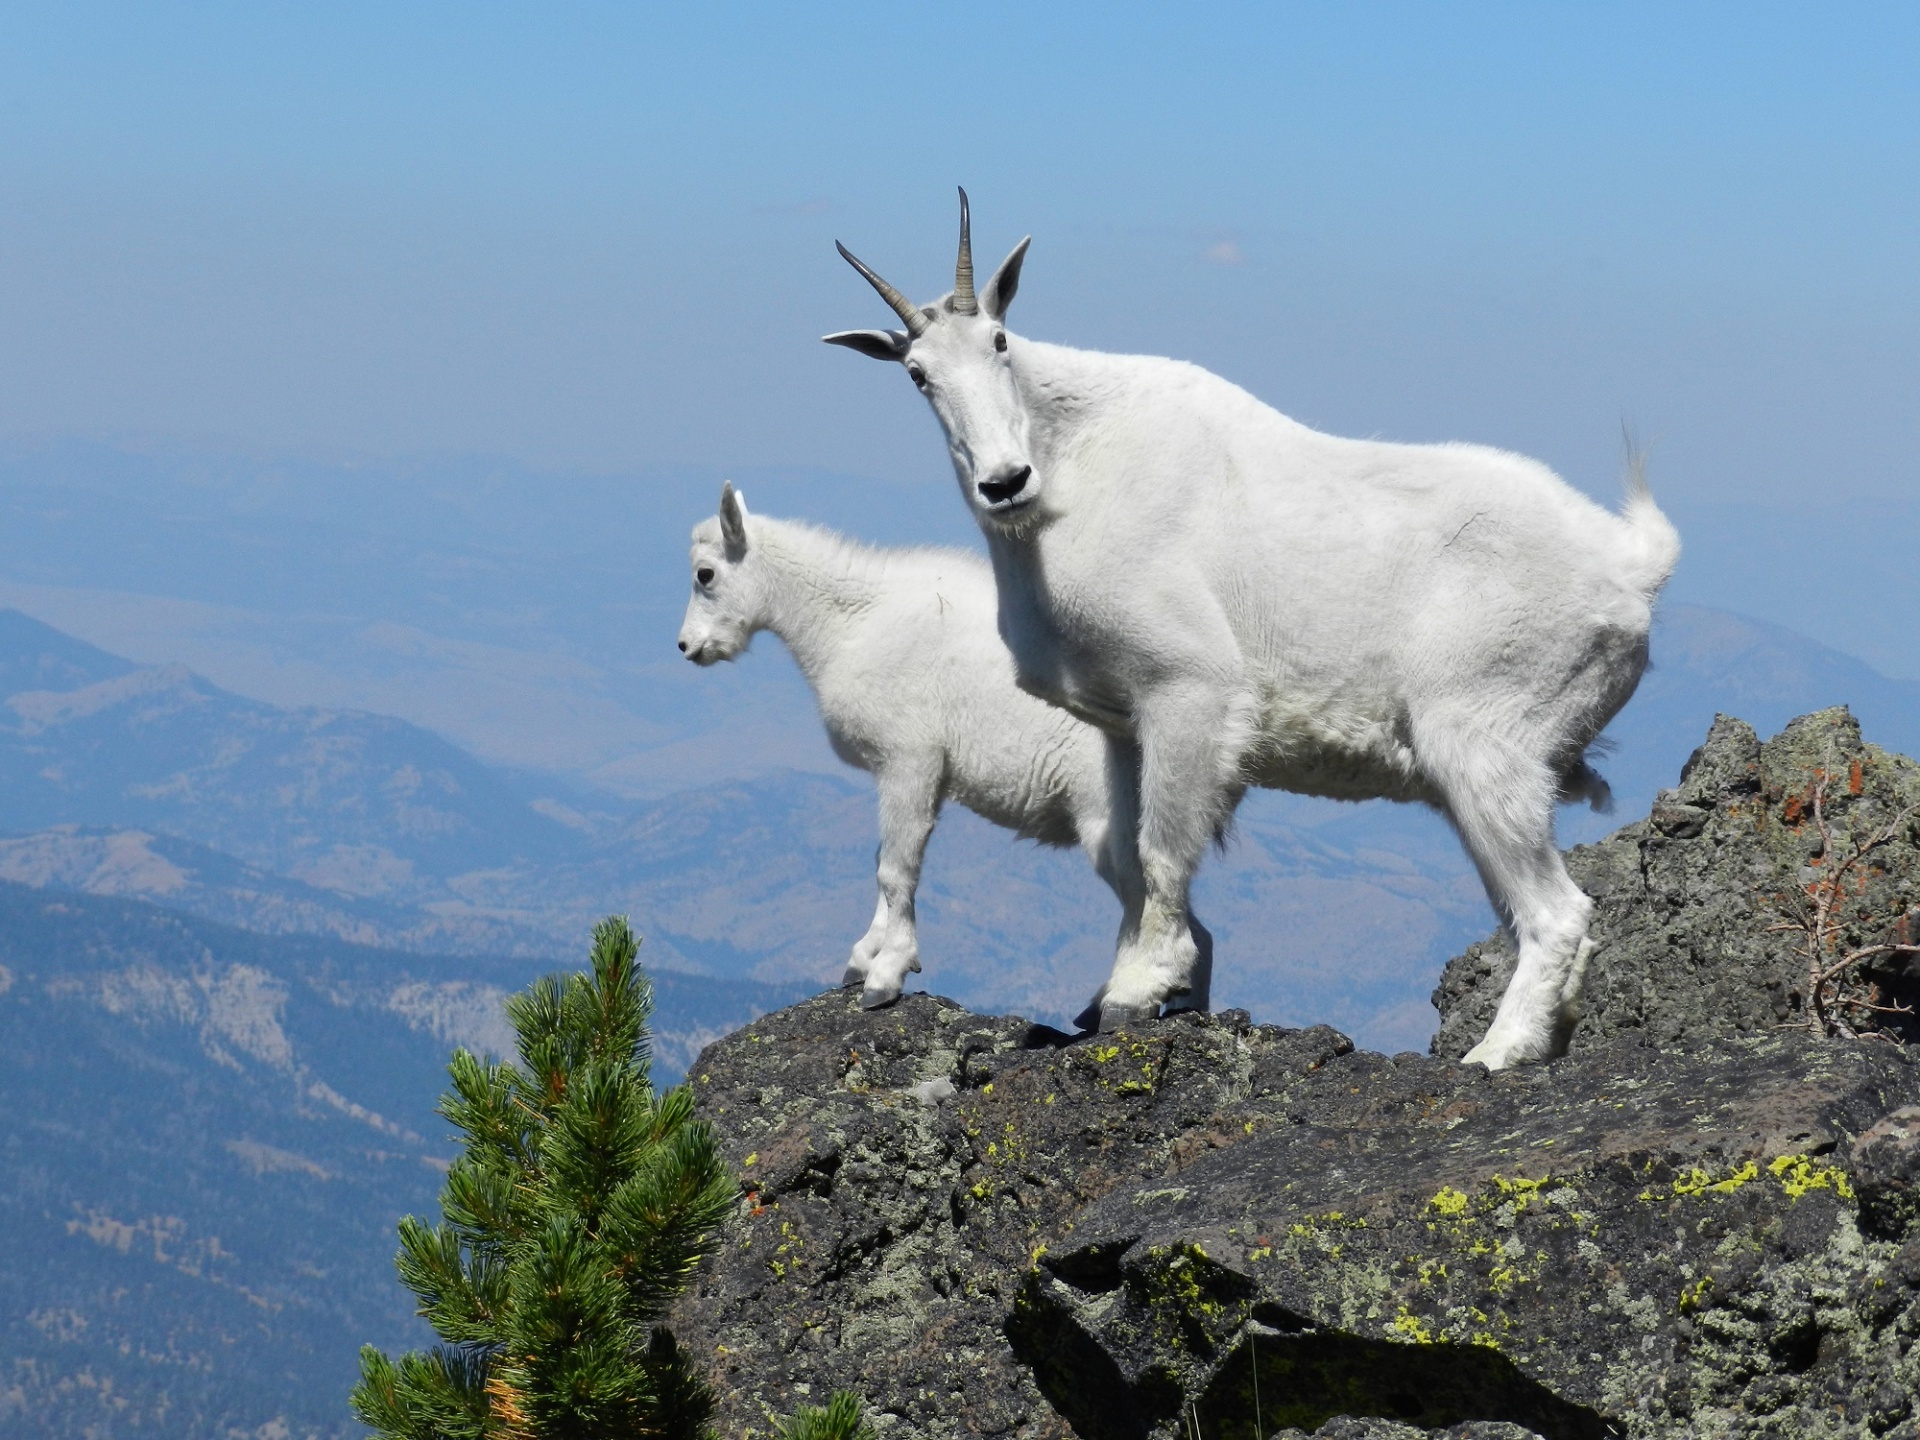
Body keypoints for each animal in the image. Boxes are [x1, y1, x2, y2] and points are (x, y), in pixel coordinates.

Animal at [679, 481, 1213, 1013]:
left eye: (705, 574)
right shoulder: (922, 774)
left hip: (1106, 815)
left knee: (1150, 900)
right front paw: (863, 958)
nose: (687, 647)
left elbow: (895, 869)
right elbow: (887, 858)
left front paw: (885, 975)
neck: (847, 623)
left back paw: (1128, 999)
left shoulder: (907, 758)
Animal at [825, 192, 1681, 1075]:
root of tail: (1630, 567)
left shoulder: (1187, 690)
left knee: (1557, 911)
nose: (1004, 481)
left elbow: (1164, 846)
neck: (1068, 475)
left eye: (999, 340)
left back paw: (1495, 1052)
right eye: (918, 374)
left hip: (1483, 741)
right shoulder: (1122, 721)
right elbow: (1129, 850)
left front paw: (1141, 989)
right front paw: (1123, 989)